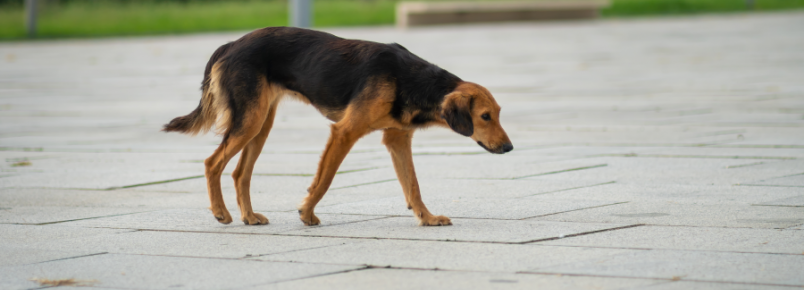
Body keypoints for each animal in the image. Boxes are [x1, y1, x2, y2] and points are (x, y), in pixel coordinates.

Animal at [164, 26, 512, 227]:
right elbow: (325, 180)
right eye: (485, 116)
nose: (509, 148)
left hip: (261, 123)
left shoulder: (397, 139)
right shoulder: (344, 132)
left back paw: (248, 217)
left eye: (498, 113)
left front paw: (426, 218)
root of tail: (230, 44)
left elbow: (412, 185)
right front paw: (306, 213)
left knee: (239, 173)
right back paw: (221, 213)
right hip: (249, 120)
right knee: (212, 163)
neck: (412, 80)